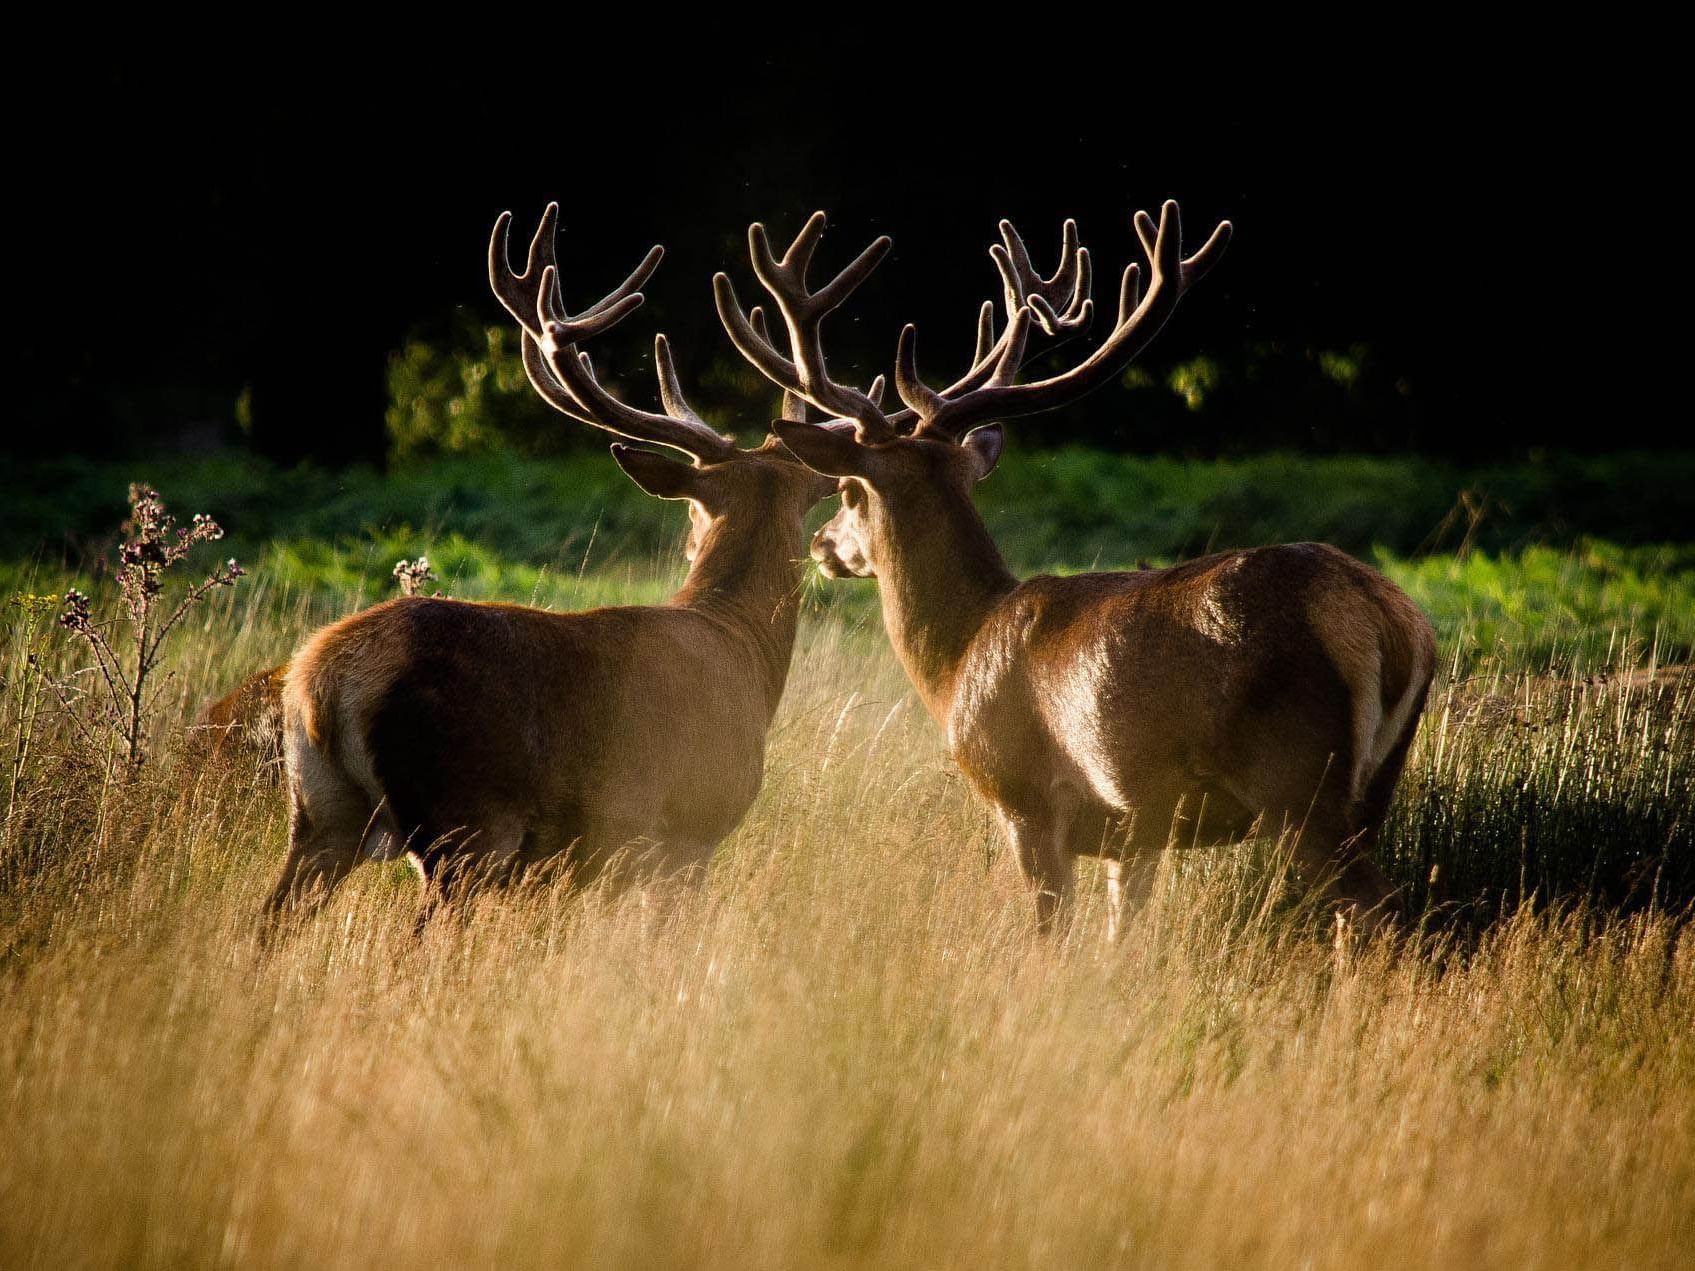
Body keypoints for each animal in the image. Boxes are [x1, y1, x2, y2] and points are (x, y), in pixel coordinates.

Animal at [259, 204, 874, 928]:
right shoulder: (688, 831)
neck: (741, 645)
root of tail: (323, 684)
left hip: (317, 812)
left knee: (267, 920)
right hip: (467, 818)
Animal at [708, 196, 1437, 935]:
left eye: (851, 491)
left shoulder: (1026, 799)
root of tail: (1386, 620)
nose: (824, 544)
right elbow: (1122, 934)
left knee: (1380, 904)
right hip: (1374, 783)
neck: (959, 659)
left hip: (1295, 776)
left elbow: (1050, 931)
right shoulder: (1136, 833)